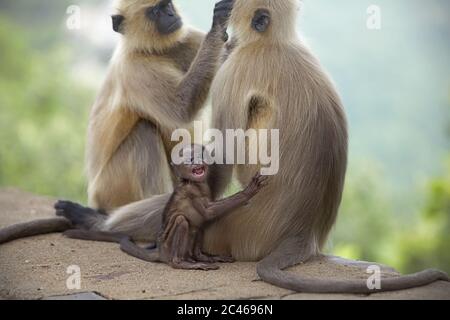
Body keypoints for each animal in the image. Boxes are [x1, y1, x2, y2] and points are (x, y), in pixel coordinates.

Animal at [62, 146, 268, 272]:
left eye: (200, 155)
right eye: (189, 158)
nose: (197, 161)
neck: (197, 185)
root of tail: (161, 251)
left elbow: (205, 216)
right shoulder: (191, 193)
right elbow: (208, 212)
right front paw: (248, 192)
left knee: (197, 227)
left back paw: (201, 257)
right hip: (169, 243)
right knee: (182, 221)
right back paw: (184, 263)